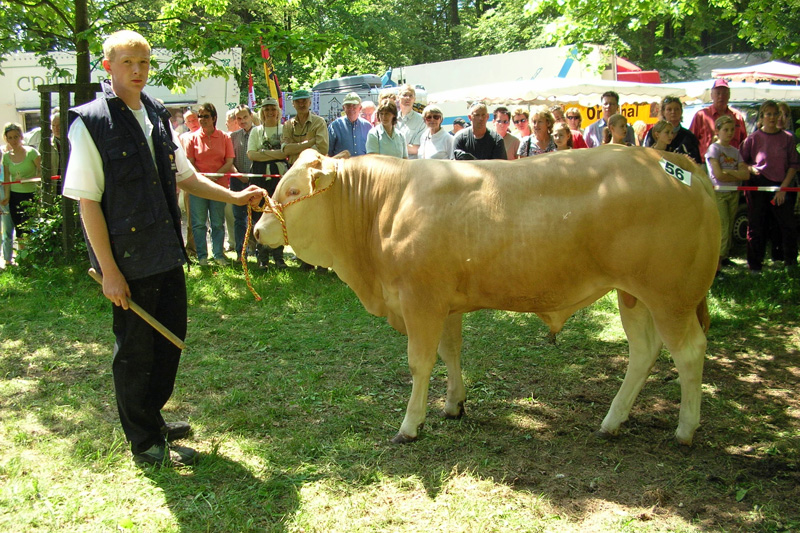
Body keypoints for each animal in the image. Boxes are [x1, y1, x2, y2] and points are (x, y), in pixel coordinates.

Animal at [255, 147, 720, 444]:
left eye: (293, 191)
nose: (258, 230)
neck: (384, 205)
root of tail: (673, 161)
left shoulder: (420, 300)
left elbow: (420, 362)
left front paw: (410, 425)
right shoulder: (445, 303)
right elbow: (450, 353)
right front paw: (453, 405)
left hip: (669, 296)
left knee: (689, 352)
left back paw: (685, 430)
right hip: (633, 295)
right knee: (644, 351)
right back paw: (612, 421)